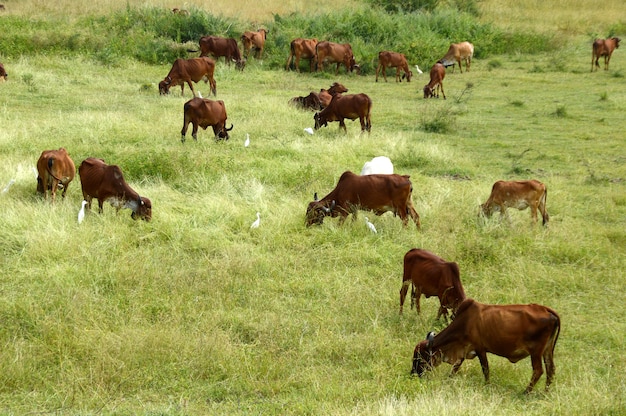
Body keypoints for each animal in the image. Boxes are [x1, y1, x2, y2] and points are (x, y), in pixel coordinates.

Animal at [410, 300, 560, 394]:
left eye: (420, 356)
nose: (413, 374)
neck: (465, 322)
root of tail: (546, 310)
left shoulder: (480, 349)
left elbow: (485, 369)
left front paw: (487, 385)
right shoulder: (465, 351)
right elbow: (455, 368)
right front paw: (448, 379)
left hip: (536, 352)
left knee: (538, 371)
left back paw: (526, 392)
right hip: (547, 350)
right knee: (551, 369)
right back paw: (545, 392)